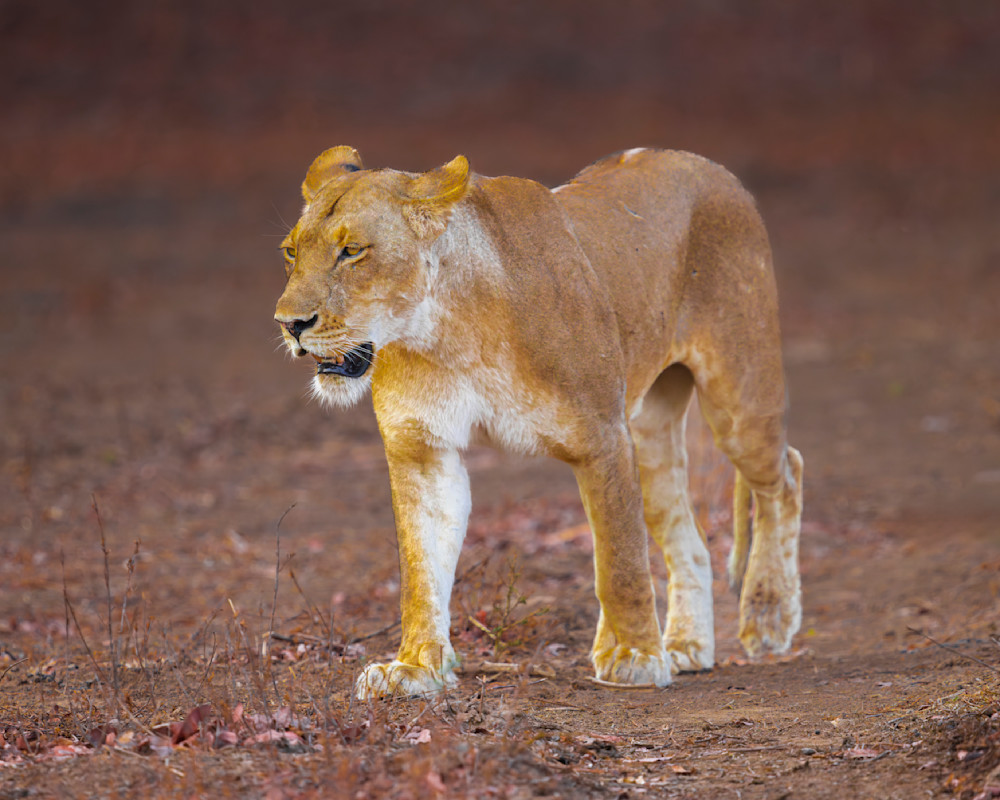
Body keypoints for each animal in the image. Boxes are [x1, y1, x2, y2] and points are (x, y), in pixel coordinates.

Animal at [274, 145, 804, 699]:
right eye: (291, 252)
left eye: (352, 251)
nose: (289, 324)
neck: (448, 332)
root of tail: (704, 163)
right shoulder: (422, 450)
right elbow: (421, 568)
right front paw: (415, 667)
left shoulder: (602, 436)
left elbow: (619, 560)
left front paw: (635, 656)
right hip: (650, 433)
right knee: (689, 535)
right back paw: (685, 646)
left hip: (738, 399)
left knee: (785, 473)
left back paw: (767, 618)